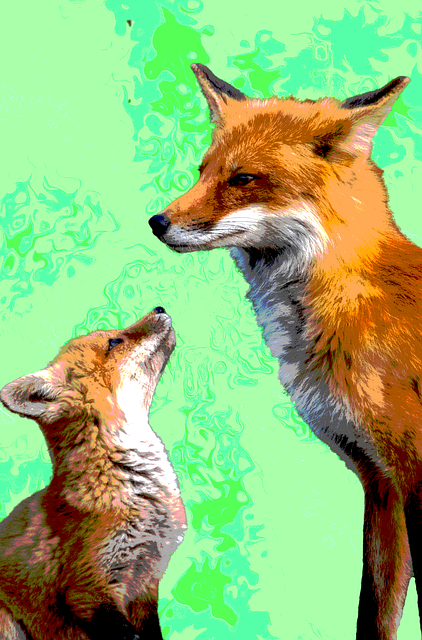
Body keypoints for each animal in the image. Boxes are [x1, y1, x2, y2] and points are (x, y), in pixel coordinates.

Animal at [148, 64, 422, 639]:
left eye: (243, 179)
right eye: (202, 171)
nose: (157, 222)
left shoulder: (411, 474)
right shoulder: (381, 484)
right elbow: (374, 610)